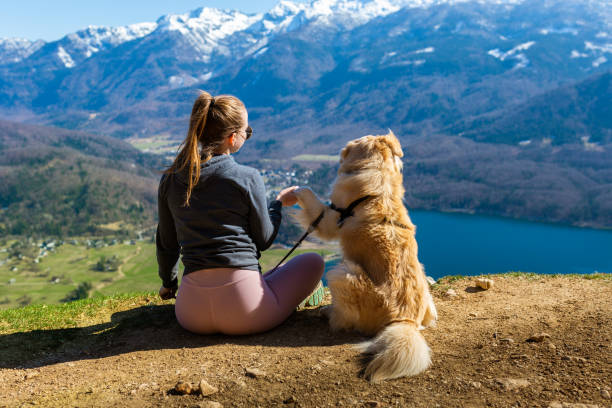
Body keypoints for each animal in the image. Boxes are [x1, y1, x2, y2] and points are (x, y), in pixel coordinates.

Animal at [294, 131, 438, 382]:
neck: (378, 173)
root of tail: (405, 321)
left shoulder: (332, 219)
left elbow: (312, 200)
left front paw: (296, 190)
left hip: (342, 272)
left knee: (345, 319)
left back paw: (328, 313)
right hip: (423, 278)